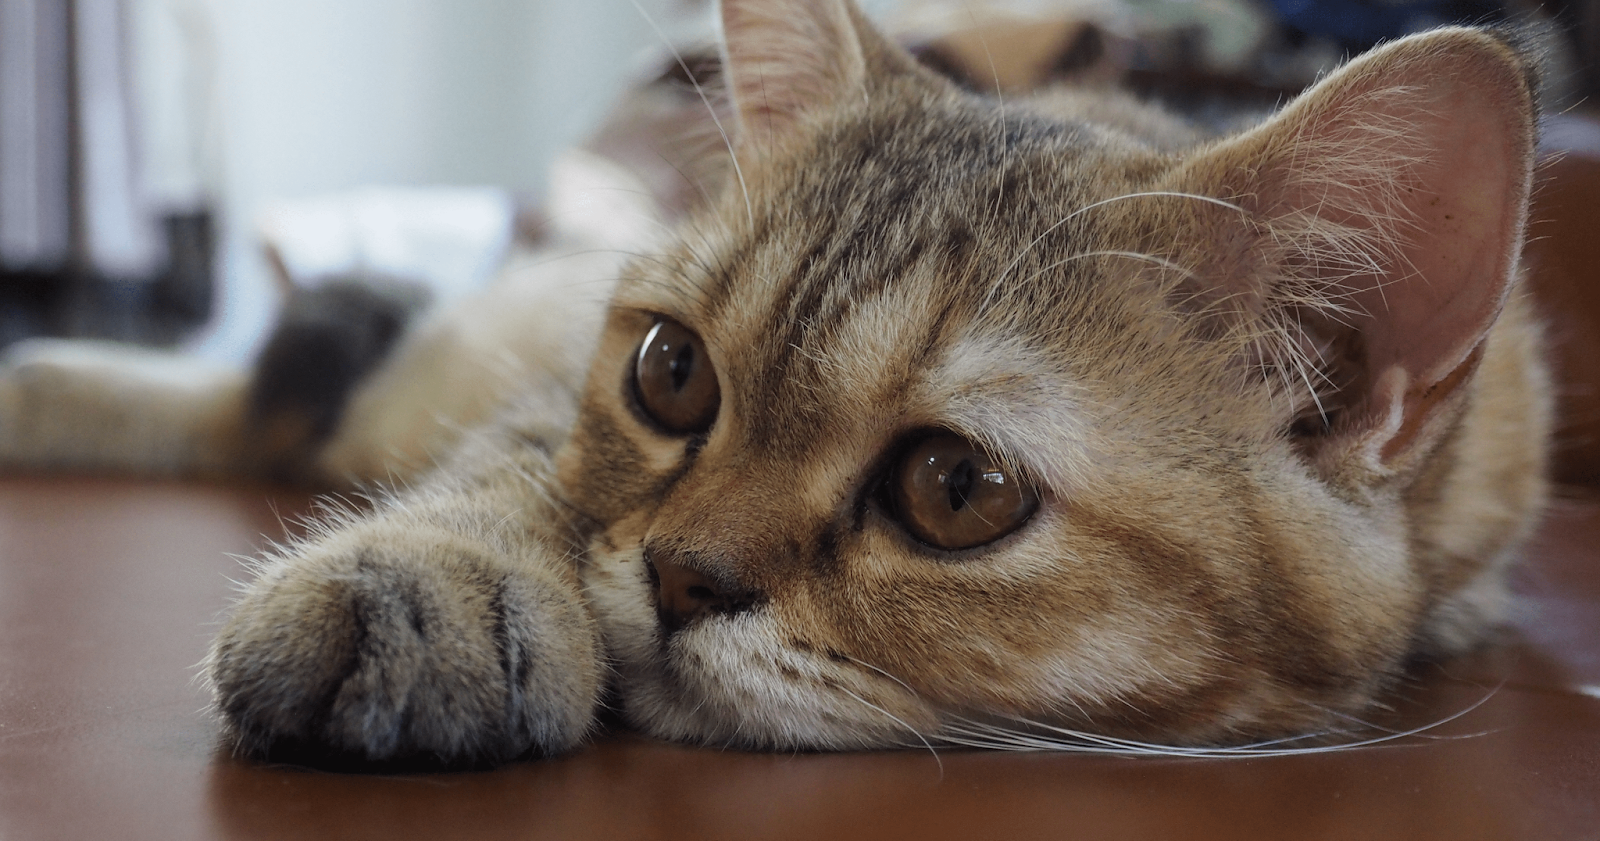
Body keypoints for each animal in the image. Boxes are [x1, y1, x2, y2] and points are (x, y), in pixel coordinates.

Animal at [15, 0, 1548, 767]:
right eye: (670, 374)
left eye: (955, 486)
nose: (678, 574)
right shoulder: (544, 401)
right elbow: (515, 469)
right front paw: (434, 574)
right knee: (272, 400)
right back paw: (47, 381)